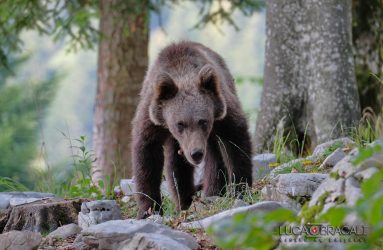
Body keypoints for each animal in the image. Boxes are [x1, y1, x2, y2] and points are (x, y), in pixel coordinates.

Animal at [130, 41, 254, 219]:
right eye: (180, 124)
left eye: (203, 121)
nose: (196, 153)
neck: (183, 72)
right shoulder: (152, 118)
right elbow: (147, 157)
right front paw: (148, 209)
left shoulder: (221, 111)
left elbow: (236, 141)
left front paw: (240, 189)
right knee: (175, 165)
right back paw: (184, 201)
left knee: (214, 157)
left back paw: (212, 191)